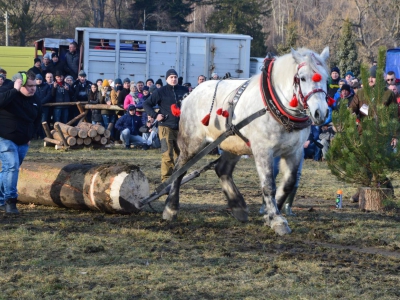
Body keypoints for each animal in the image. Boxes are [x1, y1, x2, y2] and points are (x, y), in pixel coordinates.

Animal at [162, 47, 328, 236]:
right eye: (302, 78)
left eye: (325, 78)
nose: (320, 113)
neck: (275, 106)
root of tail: (189, 95)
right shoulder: (263, 150)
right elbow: (268, 185)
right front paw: (276, 219)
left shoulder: (295, 150)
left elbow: (289, 182)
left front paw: (272, 212)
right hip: (192, 143)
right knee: (179, 170)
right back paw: (171, 208)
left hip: (233, 143)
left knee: (222, 169)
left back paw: (238, 206)